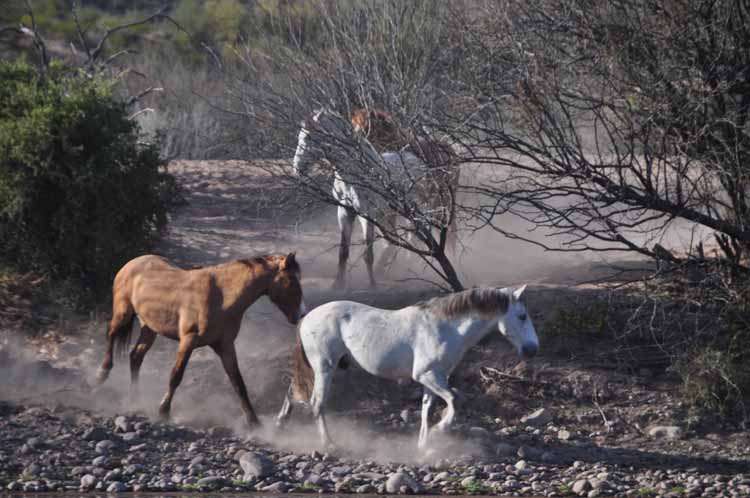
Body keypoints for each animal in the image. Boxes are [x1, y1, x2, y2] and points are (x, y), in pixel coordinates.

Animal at [97, 253, 306, 428]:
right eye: (291, 281)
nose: (301, 315)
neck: (221, 297)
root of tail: (131, 263)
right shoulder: (188, 341)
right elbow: (176, 376)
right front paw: (164, 411)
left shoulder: (225, 346)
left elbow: (238, 383)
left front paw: (253, 421)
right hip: (123, 313)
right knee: (111, 334)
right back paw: (102, 374)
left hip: (149, 327)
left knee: (136, 357)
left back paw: (134, 397)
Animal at [276, 284, 540, 452]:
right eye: (522, 316)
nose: (532, 349)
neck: (447, 328)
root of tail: (307, 317)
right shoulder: (427, 375)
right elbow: (455, 400)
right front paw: (439, 430)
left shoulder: (434, 379)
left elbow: (426, 410)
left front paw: (424, 445)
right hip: (325, 368)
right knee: (316, 403)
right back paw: (328, 444)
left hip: (323, 369)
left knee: (293, 392)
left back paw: (280, 425)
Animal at [292, 109, 458, 288]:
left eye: (308, 137)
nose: (296, 168)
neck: (353, 174)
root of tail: (420, 162)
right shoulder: (344, 213)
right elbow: (343, 252)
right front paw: (338, 284)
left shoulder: (367, 215)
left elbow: (368, 253)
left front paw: (372, 285)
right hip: (389, 216)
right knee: (396, 241)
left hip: (420, 211)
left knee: (416, 238)